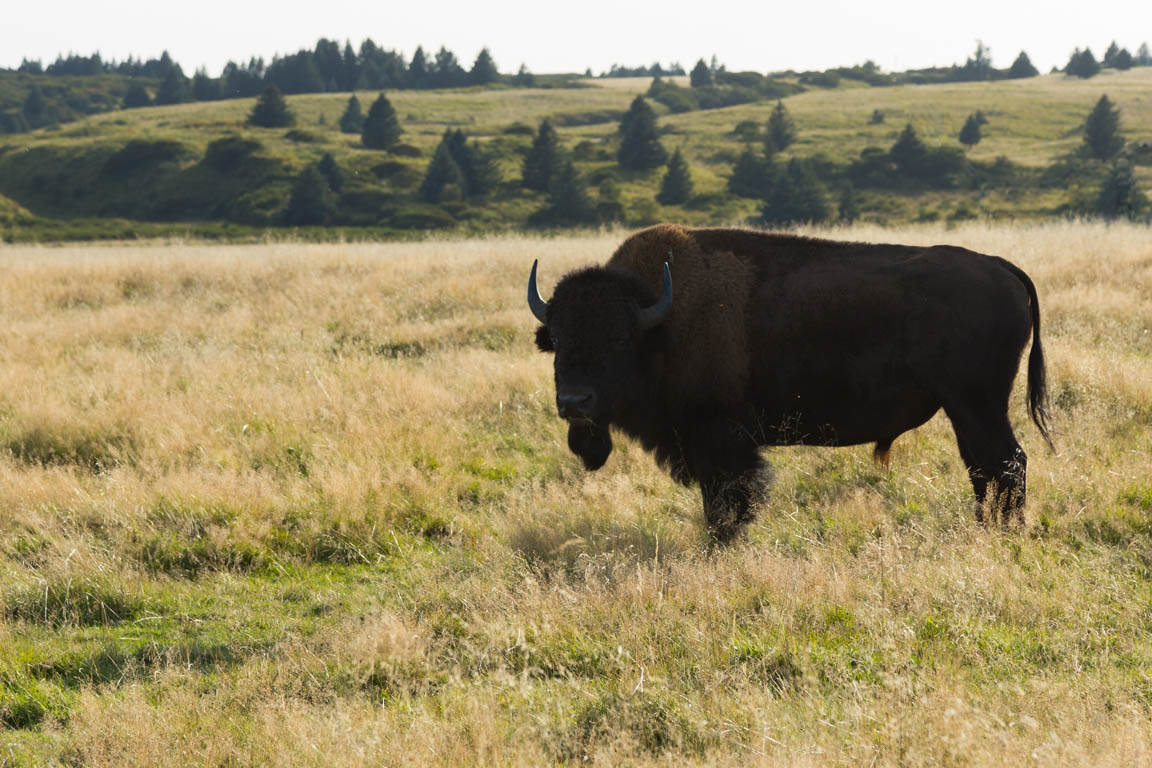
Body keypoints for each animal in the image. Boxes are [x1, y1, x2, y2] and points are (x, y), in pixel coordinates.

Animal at [529, 222, 1055, 541]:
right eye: (556, 338)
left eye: (618, 339)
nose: (574, 401)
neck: (660, 320)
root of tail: (1000, 267)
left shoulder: (721, 443)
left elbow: (729, 501)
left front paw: (724, 544)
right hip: (964, 409)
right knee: (983, 468)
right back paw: (988, 530)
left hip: (977, 405)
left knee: (1007, 463)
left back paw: (1006, 532)